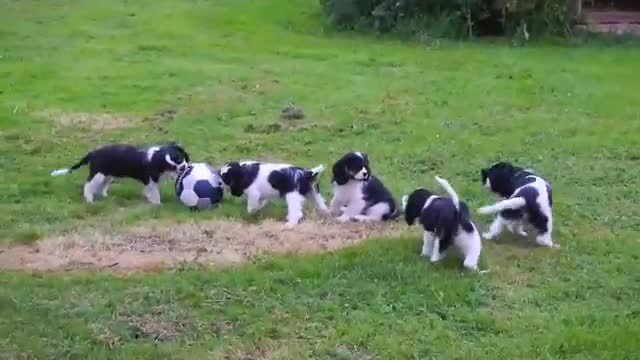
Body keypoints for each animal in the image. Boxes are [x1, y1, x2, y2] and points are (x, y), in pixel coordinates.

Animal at [48, 143, 189, 205]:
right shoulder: (150, 180)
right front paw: (157, 204)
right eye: (172, 165)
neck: (155, 157)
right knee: (88, 186)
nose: (183, 167)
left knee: (101, 186)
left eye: (179, 159)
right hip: (98, 175)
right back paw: (89, 199)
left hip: (107, 176)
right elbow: (154, 193)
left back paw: (104, 196)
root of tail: (92, 154)